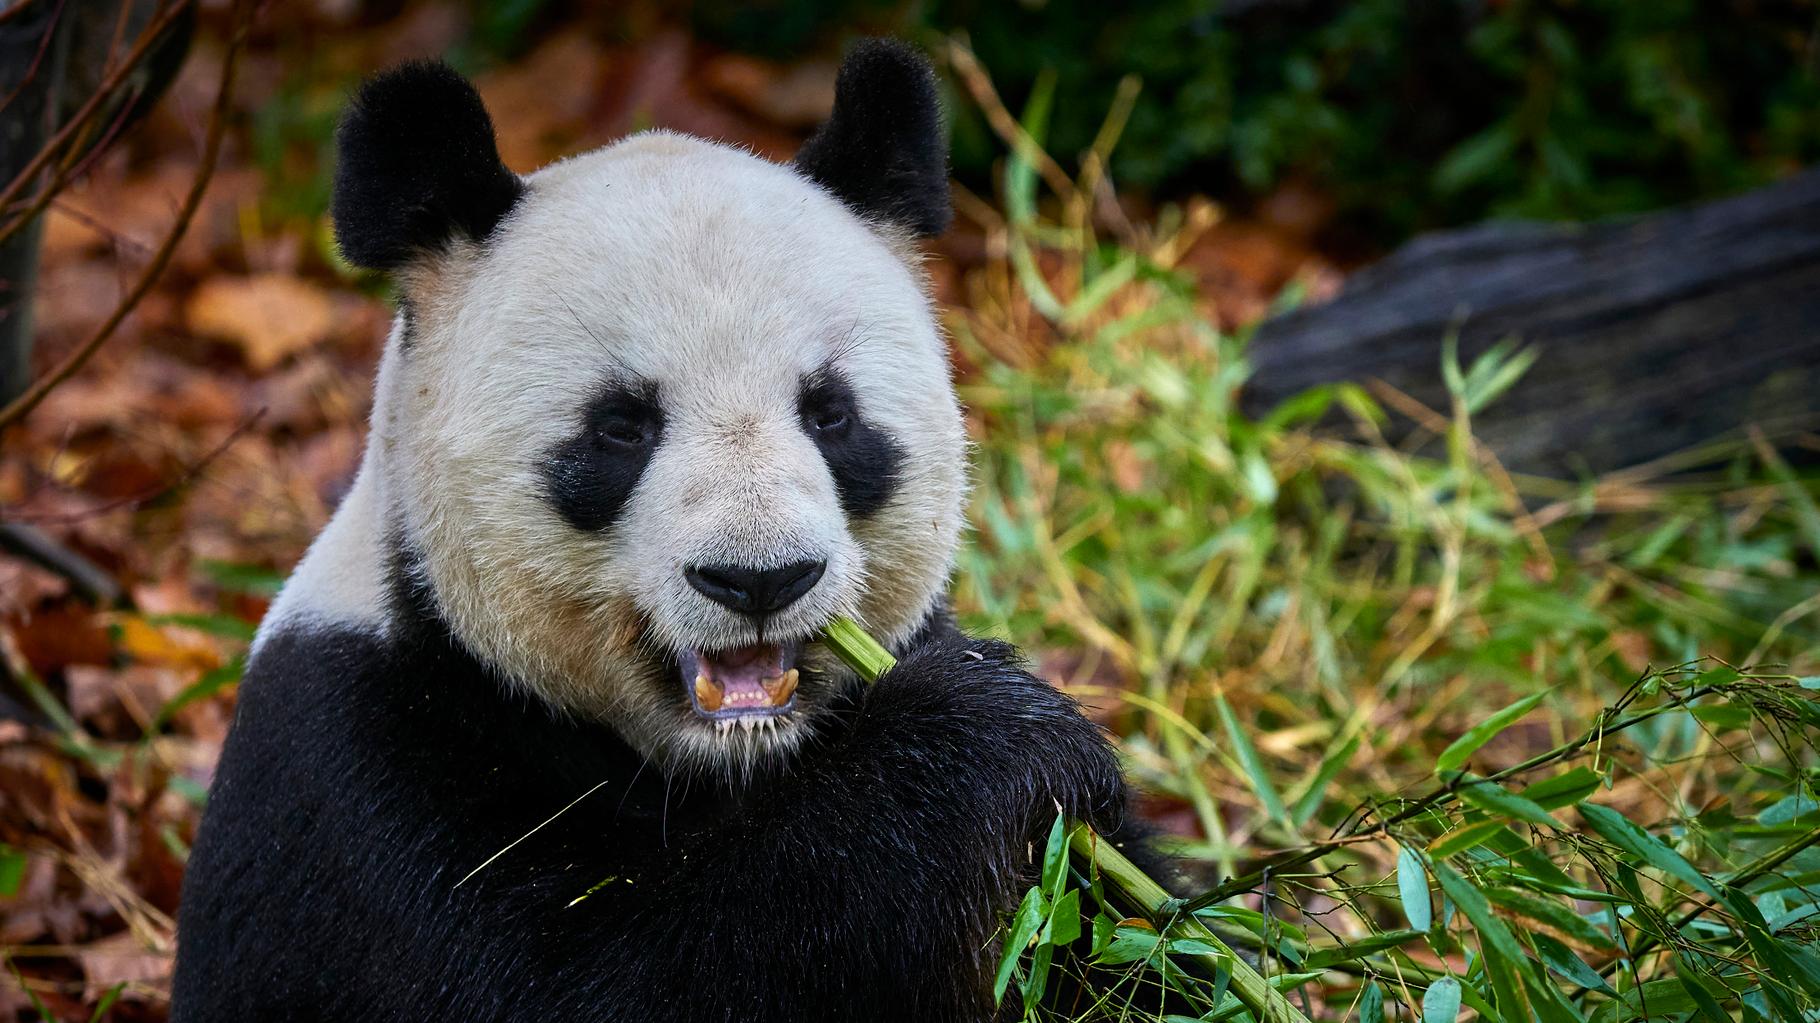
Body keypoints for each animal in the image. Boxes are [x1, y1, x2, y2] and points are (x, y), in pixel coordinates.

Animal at [172, 40, 1135, 1022]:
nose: (760, 578)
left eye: (830, 413)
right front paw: (985, 733)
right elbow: (613, 978)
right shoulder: (368, 769)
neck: (728, 762)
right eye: (621, 427)